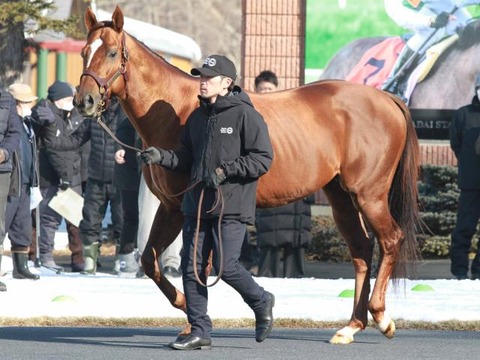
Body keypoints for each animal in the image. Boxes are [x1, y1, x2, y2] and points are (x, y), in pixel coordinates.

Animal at [74, 4, 420, 344]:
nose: (83, 101)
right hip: (341, 196)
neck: (177, 108)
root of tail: (386, 98)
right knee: (361, 248)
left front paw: (195, 322)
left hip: (369, 194)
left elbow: (197, 265)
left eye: (112, 53)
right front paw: (187, 312)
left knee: (390, 239)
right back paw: (351, 326)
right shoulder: (172, 206)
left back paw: (381, 316)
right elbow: (150, 261)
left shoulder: (192, 208)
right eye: (84, 51)